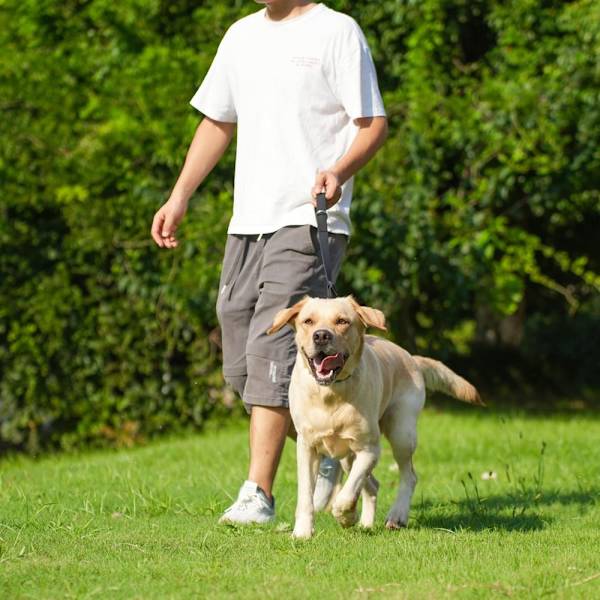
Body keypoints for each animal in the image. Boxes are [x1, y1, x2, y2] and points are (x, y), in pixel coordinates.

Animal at [268, 296, 482, 540]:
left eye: (342, 321)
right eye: (308, 321)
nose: (321, 335)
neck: (330, 394)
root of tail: (411, 358)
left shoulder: (369, 449)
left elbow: (346, 495)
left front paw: (346, 516)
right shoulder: (307, 447)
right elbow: (307, 495)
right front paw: (303, 532)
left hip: (401, 433)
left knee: (408, 476)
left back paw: (396, 516)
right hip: (347, 457)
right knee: (373, 484)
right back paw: (366, 523)